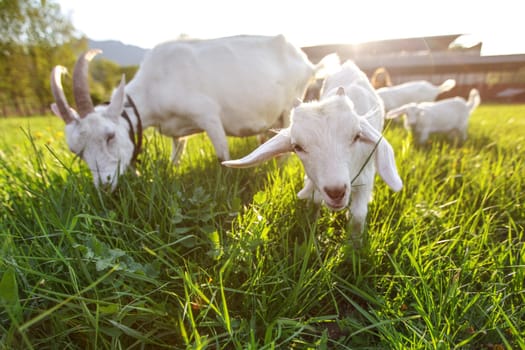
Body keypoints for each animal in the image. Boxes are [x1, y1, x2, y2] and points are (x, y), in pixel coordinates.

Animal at [49, 34, 336, 189]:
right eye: (76, 151)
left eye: (109, 135)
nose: (105, 184)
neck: (155, 83)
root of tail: (308, 64)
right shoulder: (177, 132)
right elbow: (176, 154)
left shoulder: (208, 116)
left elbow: (222, 154)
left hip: (291, 104)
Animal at [222, 60, 402, 235]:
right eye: (297, 147)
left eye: (357, 136)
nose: (336, 192)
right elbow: (315, 200)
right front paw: (311, 225)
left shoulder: (366, 175)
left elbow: (358, 214)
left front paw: (355, 241)